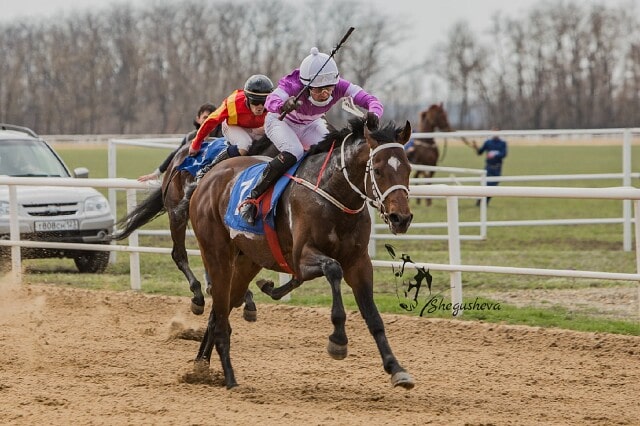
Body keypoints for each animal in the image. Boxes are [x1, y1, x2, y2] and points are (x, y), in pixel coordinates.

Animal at [186, 116, 416, 390]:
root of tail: (207, 178)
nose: (400, 218)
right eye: (378, 170)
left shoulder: (359, 263)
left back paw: (201, 365)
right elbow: (332, 269)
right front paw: (338, 340)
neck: (333, 193)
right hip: (217, 254)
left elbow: (373, 317)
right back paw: (230, 378)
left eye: (408, 169)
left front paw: (396, 368)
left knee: (219, 312)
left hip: (246, 262)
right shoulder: (302, 256)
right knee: (220, 313)